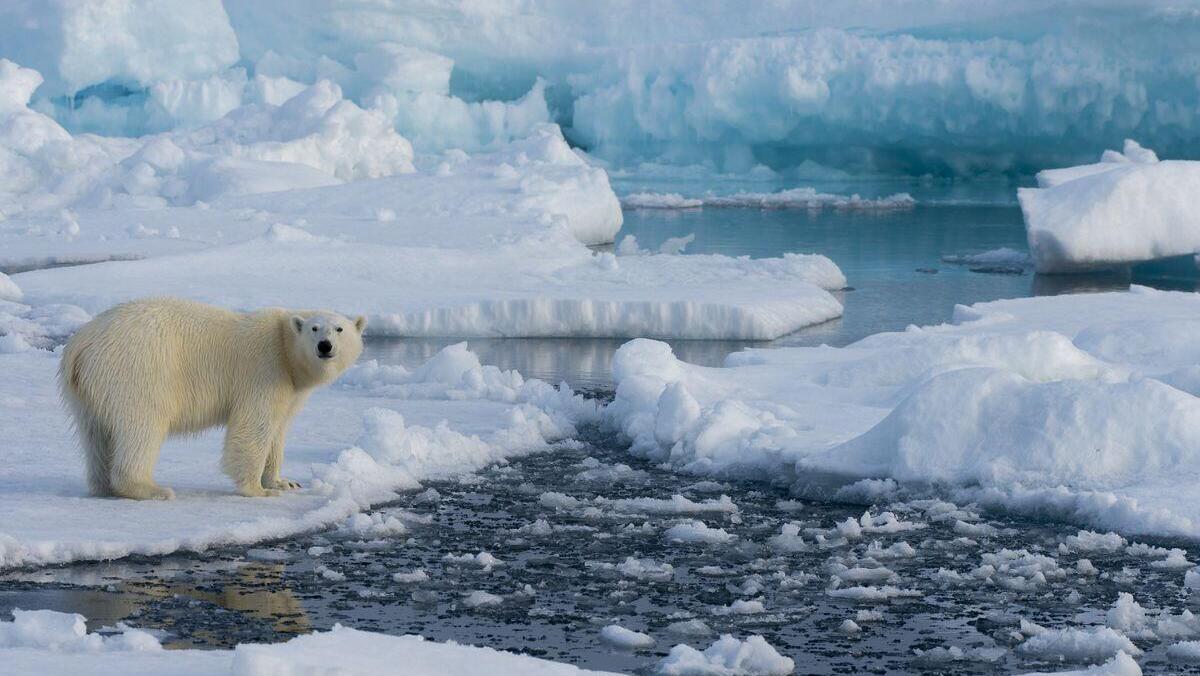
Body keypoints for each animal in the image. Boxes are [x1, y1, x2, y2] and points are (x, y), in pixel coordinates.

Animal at [58, 298, 364, 499]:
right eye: (315, 328)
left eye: (340, 329)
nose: (325, 346)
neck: (285, 348)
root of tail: (81, 344)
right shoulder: (264, 370)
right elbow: (253, 427)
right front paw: (258, 490)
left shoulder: (290, 388)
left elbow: (277, 429)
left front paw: (283, 482)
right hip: (138, 370)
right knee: (142, 426)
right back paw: (151, 489)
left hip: (87, 390)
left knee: (95, 434)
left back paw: (103, 486)